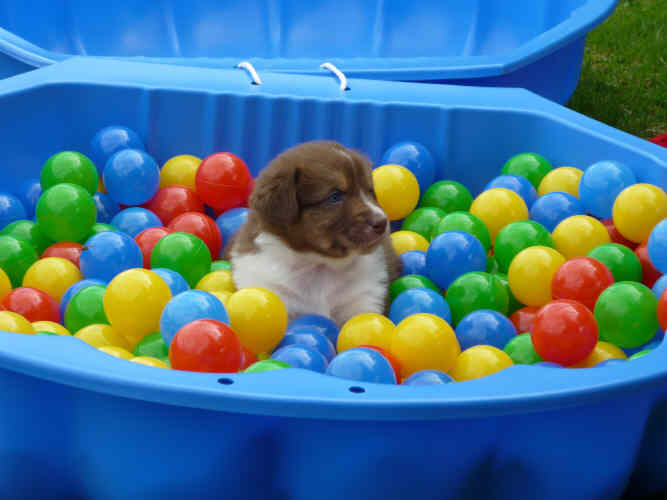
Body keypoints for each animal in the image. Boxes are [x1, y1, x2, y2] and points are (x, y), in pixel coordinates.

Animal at [228, 141, 401, 327]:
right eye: (335, 196)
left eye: (370, 191)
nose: (382, 222)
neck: (319, 266)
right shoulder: (272, 291)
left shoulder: (365, 299)